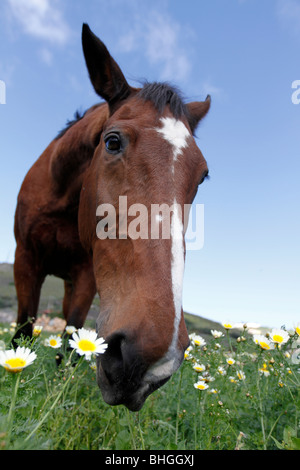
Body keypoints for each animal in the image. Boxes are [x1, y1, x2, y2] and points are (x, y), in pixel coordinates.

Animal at [13, 23, 211, 410]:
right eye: (112, 142)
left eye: (203, 175)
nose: (152, 362)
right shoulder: (25, 260)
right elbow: (22, 331)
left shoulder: (86, 277)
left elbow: (72, 340)